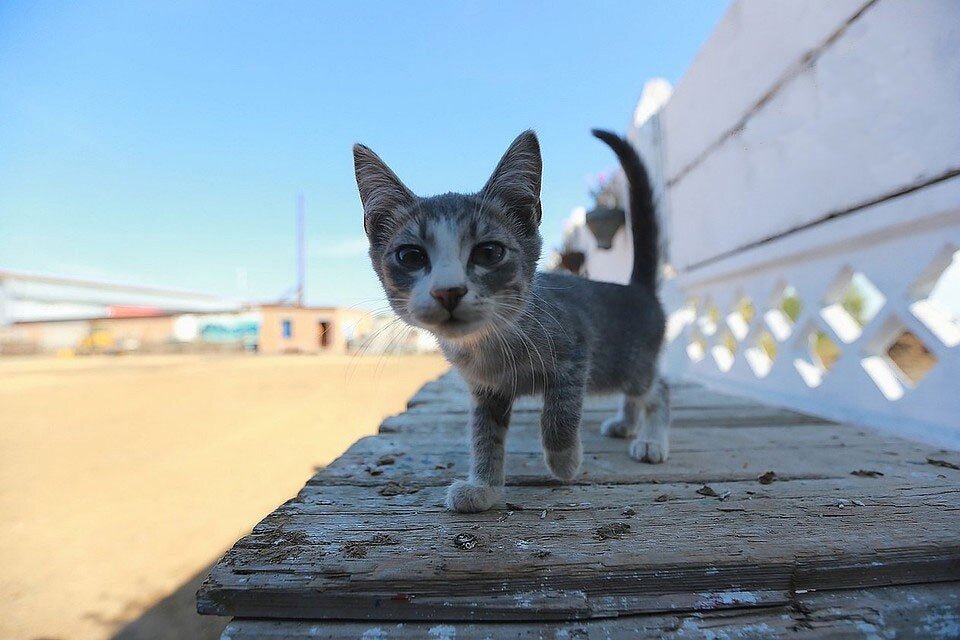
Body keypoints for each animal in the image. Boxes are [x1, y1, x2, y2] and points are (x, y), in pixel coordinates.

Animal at [352, 130, 668, 516]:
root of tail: (638, 290)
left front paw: (564, 460)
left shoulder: (575, 350)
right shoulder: (487, 389)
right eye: (410, 256)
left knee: (658, 389)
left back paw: (651, 440)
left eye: (489, 253)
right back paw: (626, 424)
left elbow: (559, 413)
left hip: (628, 364)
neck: (490, 343)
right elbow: (484, 435)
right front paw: (483, 487)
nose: (448, 291)